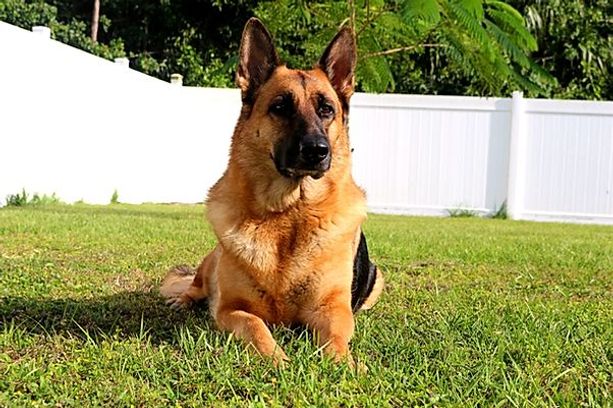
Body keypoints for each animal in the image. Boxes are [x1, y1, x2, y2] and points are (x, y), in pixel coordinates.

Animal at [160, 18, 384, 366]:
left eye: (326, 110)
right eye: (280, 108)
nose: (317, 151)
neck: (289, 215)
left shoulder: (333, 310)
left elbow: (335, 339)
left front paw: (345, 365)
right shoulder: (230, 309)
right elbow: (257, 327)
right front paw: (278, 361)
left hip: (377, 279)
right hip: (210, 263)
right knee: (194, 285)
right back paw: (183, 300)